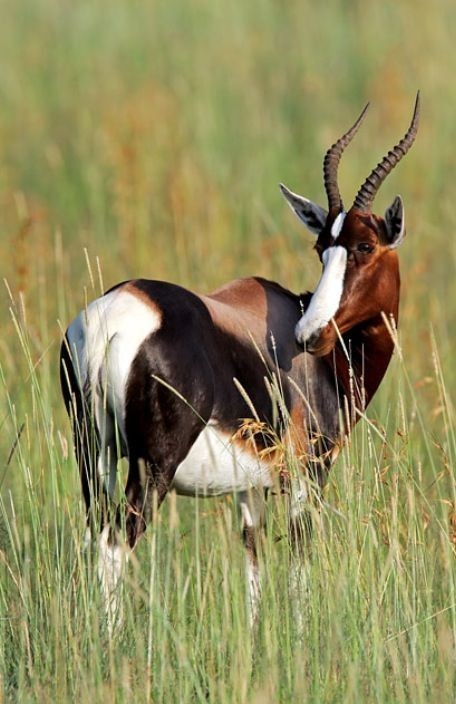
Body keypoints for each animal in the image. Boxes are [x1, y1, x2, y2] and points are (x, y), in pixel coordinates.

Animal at [60, 92, 420, 620]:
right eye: (322, 247)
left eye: (364, 244)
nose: (310, 334)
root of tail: (114, 319)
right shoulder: (306, 478)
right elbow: (297, 573)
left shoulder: (250, 490)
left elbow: (254, 572)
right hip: (151, 469)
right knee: (113, 545)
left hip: (93, 452)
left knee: (91, 537)